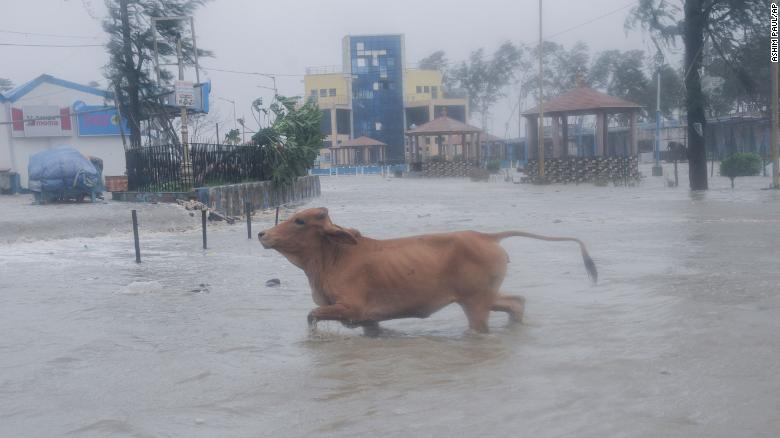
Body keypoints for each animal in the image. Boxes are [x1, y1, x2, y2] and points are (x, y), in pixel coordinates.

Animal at [258, 208, 596, 336]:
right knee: (516, 302)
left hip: (475, 304)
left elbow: (311, 315)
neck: (333, 258)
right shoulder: (369, 320)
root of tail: (488, 237)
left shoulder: (351, 309)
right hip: (484, 296)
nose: (262, 234)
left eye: (300, 220)